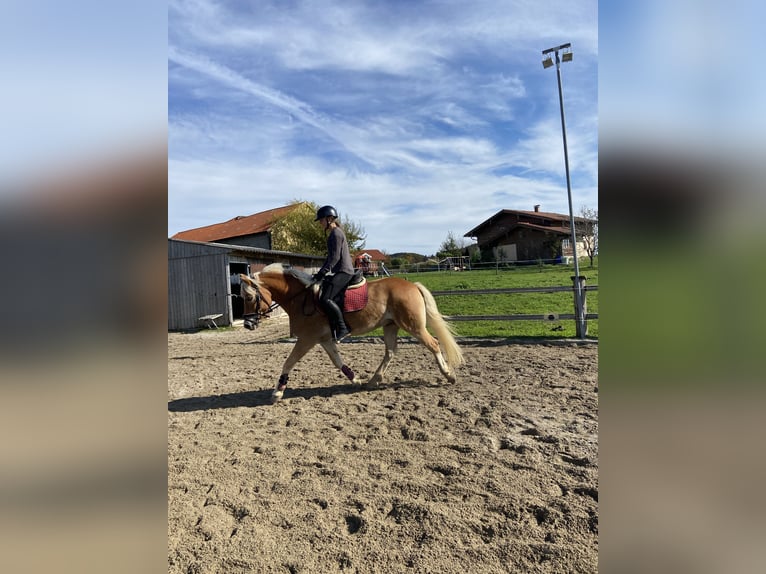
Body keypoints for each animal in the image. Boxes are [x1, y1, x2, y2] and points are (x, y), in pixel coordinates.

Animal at [243, 264, 464, 402]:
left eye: (249, 297)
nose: (247, 325)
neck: (300, 297)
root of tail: (412, 285)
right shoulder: (323, 339)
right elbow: (337, 361)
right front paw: (355, 380)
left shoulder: (307, 339)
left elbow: (288, 362)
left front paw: (277, 393)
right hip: (390, 325)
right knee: (390, 351)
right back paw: (373, 381)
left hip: (413, 326)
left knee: (433, 344)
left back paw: (449, 376)